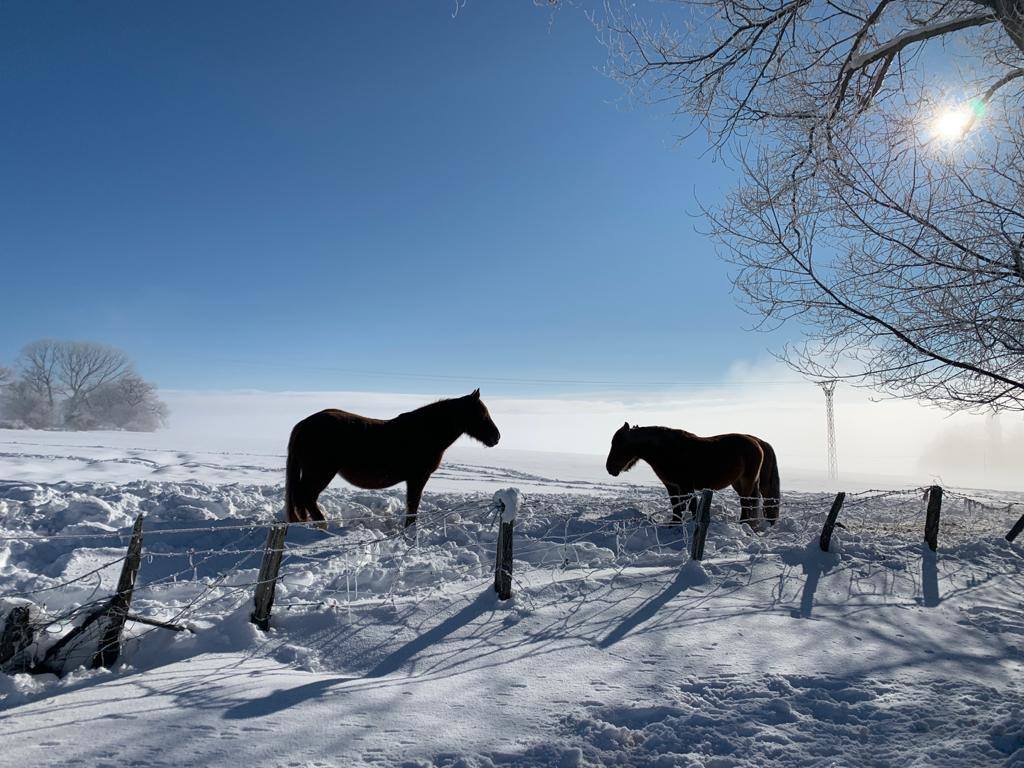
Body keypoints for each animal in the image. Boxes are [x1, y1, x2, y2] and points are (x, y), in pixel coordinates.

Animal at [284, 391, 499, 528]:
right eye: (481, 415)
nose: (496, 437)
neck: (426, 432)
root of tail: (304, 424)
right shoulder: (417, 478)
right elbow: (412, 506)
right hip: (321, 473)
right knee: (306, 495)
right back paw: (321, 526)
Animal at [602, 423, 778, 532]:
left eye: (618, 444)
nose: (609, 468)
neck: (667, 450)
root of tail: (757, 442)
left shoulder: (686, 485)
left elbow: (692, 506)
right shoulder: (672, 486)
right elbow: (676, 506)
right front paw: (674, 525)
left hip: (747, 481)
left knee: (747, 502)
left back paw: (744, 525)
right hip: (738, 482)